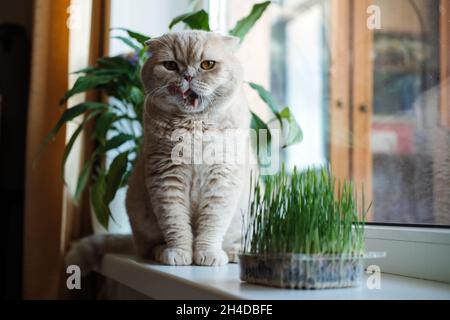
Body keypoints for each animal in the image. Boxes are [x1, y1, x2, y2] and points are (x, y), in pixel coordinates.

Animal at [68, 30, 255, 272]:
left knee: (234, 240)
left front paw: (208, 254)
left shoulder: (222, 180)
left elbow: (212, 224)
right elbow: (176, 223)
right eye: (170, 65)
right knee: (147, 246)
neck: (194, 126)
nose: (188, 76)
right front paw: (179, 254)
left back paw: (233, 253)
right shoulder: (167, 179)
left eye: (207, 65)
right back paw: (160, 251)